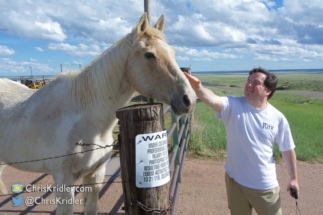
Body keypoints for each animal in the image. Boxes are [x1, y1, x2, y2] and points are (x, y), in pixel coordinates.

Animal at [0, 13, 197, 215]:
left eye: (172, 53)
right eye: (149, 55)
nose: (189, 99)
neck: (85, 117)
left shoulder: (95, 176)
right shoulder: (64, 182)